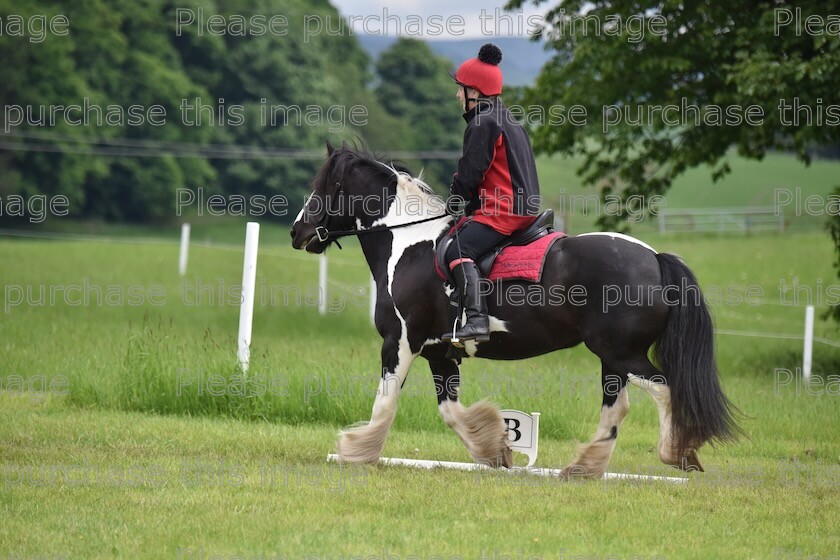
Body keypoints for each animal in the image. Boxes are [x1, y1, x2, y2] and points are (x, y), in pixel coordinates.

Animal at [292, 144, 740, 476]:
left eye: (325, 185)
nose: (298, 232)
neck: (411, 245)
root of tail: (654, 258)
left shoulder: (401, 342)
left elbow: (385, 404)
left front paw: (355, 451)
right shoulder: (440, 352)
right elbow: (450, 411)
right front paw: (495, 450)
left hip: (621, 353)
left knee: (663, 388)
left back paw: (676, 453)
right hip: (612, 357)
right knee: (617, 406)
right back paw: (584, 467)